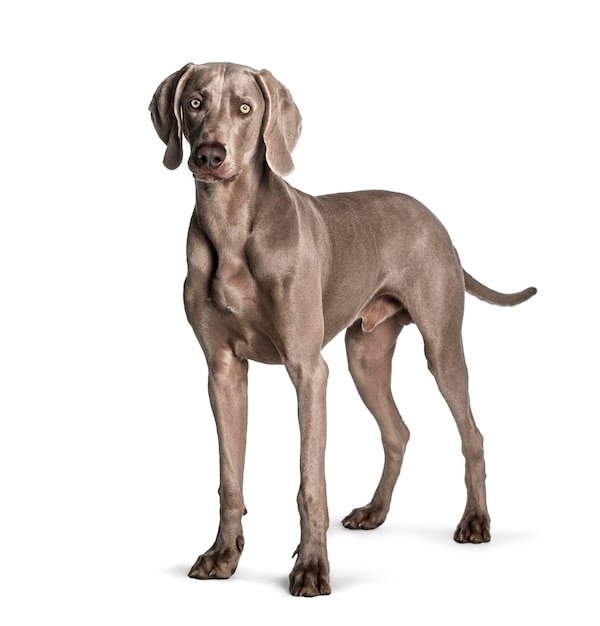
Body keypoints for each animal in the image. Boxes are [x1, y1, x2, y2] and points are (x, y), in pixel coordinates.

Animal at [149, 63, 536, 596]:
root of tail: (434, 218)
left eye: (245, 107)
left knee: (472, 434)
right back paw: (375, 511)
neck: (231, 228)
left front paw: (311, 567)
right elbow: (230, 477)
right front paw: (223, 555)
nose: (210, 155)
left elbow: (310, 481)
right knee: (397, 432)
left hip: (441, 346)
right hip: (364, 357)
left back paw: (475, 521)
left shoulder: (308, 370)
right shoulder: (223, 370)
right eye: (194, 103)